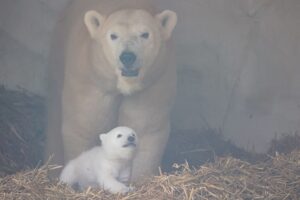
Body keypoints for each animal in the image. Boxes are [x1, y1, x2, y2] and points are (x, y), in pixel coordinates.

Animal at [45, 0, 177, 181]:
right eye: (113, 36)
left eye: (145, 34)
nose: (127, 57)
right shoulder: (91, 80)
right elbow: (84, 126)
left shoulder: (153, 82)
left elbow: (144, 128)